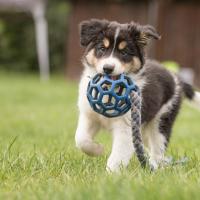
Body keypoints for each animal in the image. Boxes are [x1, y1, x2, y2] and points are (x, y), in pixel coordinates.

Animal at [74, 19, 200, 172]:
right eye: (102, 49)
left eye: (124, 52)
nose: (108, 68)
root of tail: (176, 77)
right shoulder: (89, 115)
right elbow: (81, 139)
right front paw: (97, 149)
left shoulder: (126, 126)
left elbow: (118, 155)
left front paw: (110, 174)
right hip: (144, 127)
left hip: (162, 120)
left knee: (158, 148)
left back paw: (155, 166)